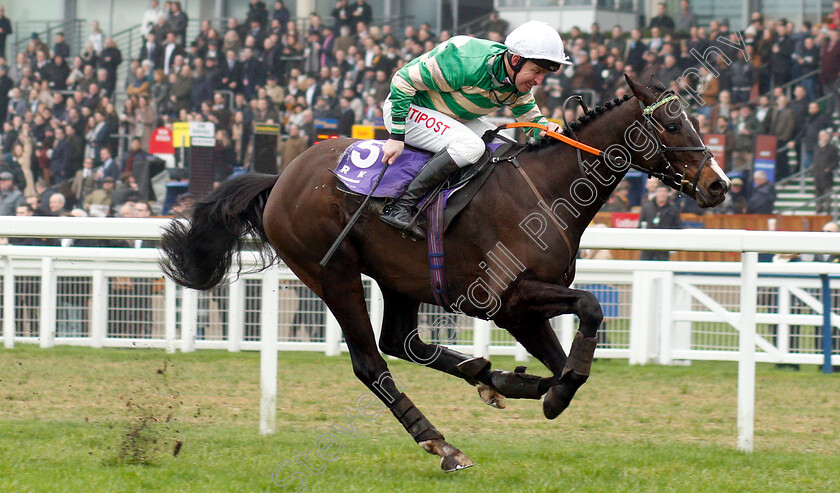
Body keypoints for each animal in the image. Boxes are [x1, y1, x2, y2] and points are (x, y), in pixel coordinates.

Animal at [162, 75, 728, 470]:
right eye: (672, 125)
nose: (718, 184)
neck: (547, 192)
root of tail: (282, 176)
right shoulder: (509, 299)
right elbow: (587, 312)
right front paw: (544, 390)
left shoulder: (523, 309)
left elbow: (564, 363)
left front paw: (520, 381)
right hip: (333, 274)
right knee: (371, 363)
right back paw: (442, 444)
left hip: (398, 278)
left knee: (400, 341)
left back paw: (482, 379)